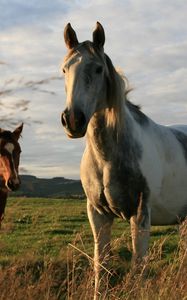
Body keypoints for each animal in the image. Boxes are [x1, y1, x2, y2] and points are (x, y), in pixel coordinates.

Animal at [61, 22, 187, 298]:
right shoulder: (98, 215)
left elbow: (138, 269)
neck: (107, 158)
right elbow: (101, 266)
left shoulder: (139, 215)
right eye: (64, 69)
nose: (73, 120)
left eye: (98, 69)